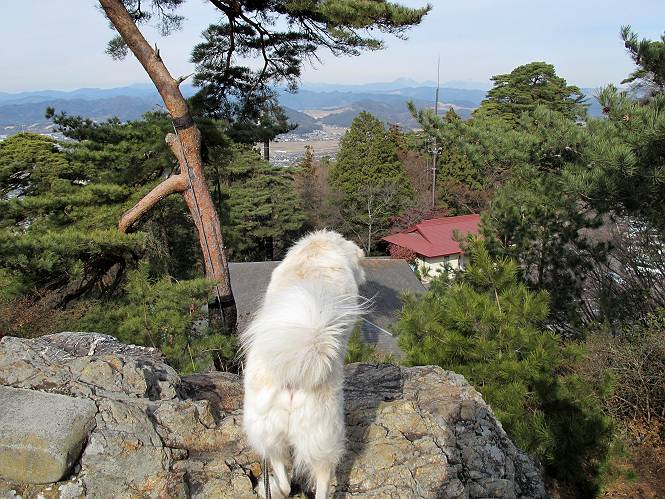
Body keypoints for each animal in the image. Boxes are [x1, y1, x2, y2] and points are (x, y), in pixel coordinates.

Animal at [241, 230, 366, 499]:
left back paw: (273, 487)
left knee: (281, 471)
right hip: (323, 434)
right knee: (322, 476)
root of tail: (291, 380)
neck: (315, 253)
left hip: (267, 430)